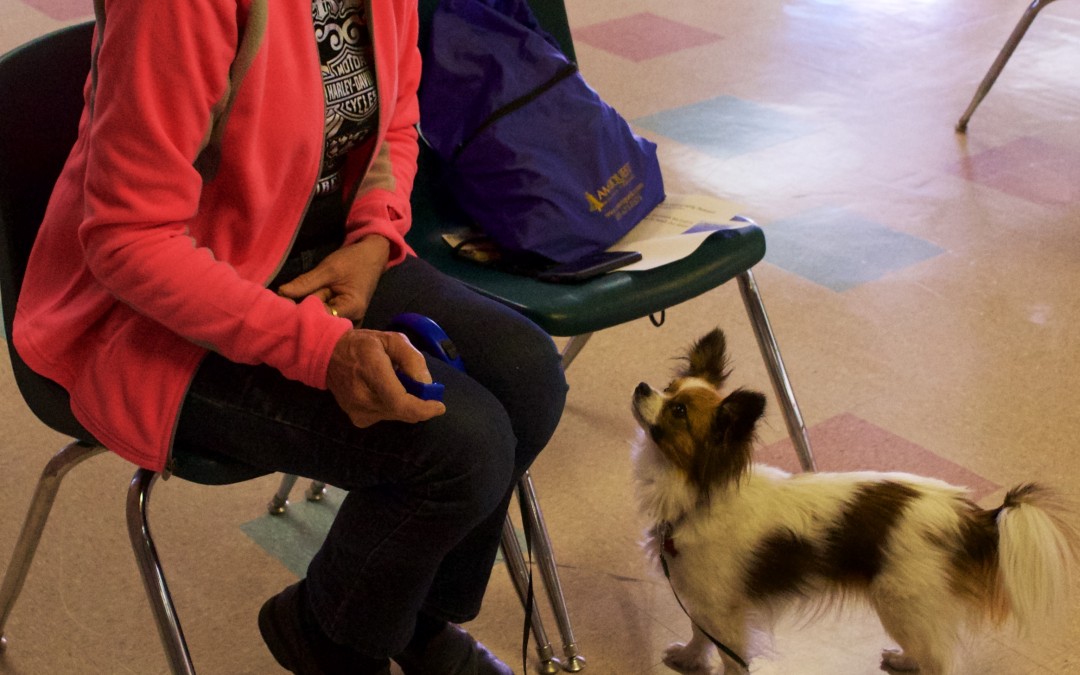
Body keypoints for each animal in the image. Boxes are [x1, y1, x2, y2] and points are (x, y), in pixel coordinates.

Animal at [630, 328, 1075, 673]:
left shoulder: (724, 609)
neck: (697, 494)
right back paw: (904, 660)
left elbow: (728, 656)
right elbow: (698, 633)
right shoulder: (703, 600)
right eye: (668, 388)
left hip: (902, 605)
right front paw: (689, 658)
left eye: (678, 411)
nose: (641, 386)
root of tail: (972, 518)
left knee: (940, 662)